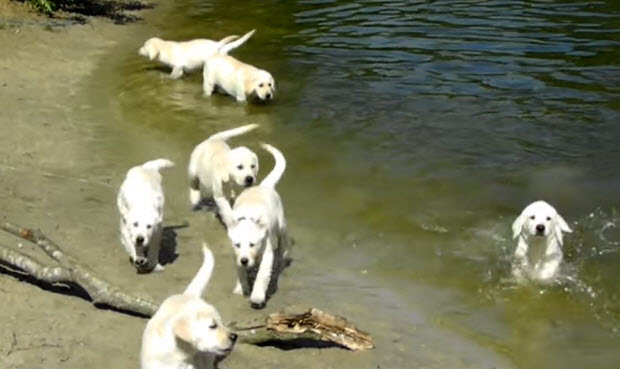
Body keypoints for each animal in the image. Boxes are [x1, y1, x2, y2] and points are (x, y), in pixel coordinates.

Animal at [216, 143, 288, 308]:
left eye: (252, 244)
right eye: (237, 244)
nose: (244, 260)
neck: (248, 218)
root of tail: (263, 186)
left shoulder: (267, 253)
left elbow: (262, 275)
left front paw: (257, 296)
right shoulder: (236, 254)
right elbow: (240, 272)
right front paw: (241, 287)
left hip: (281, 225)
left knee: (284, 242)